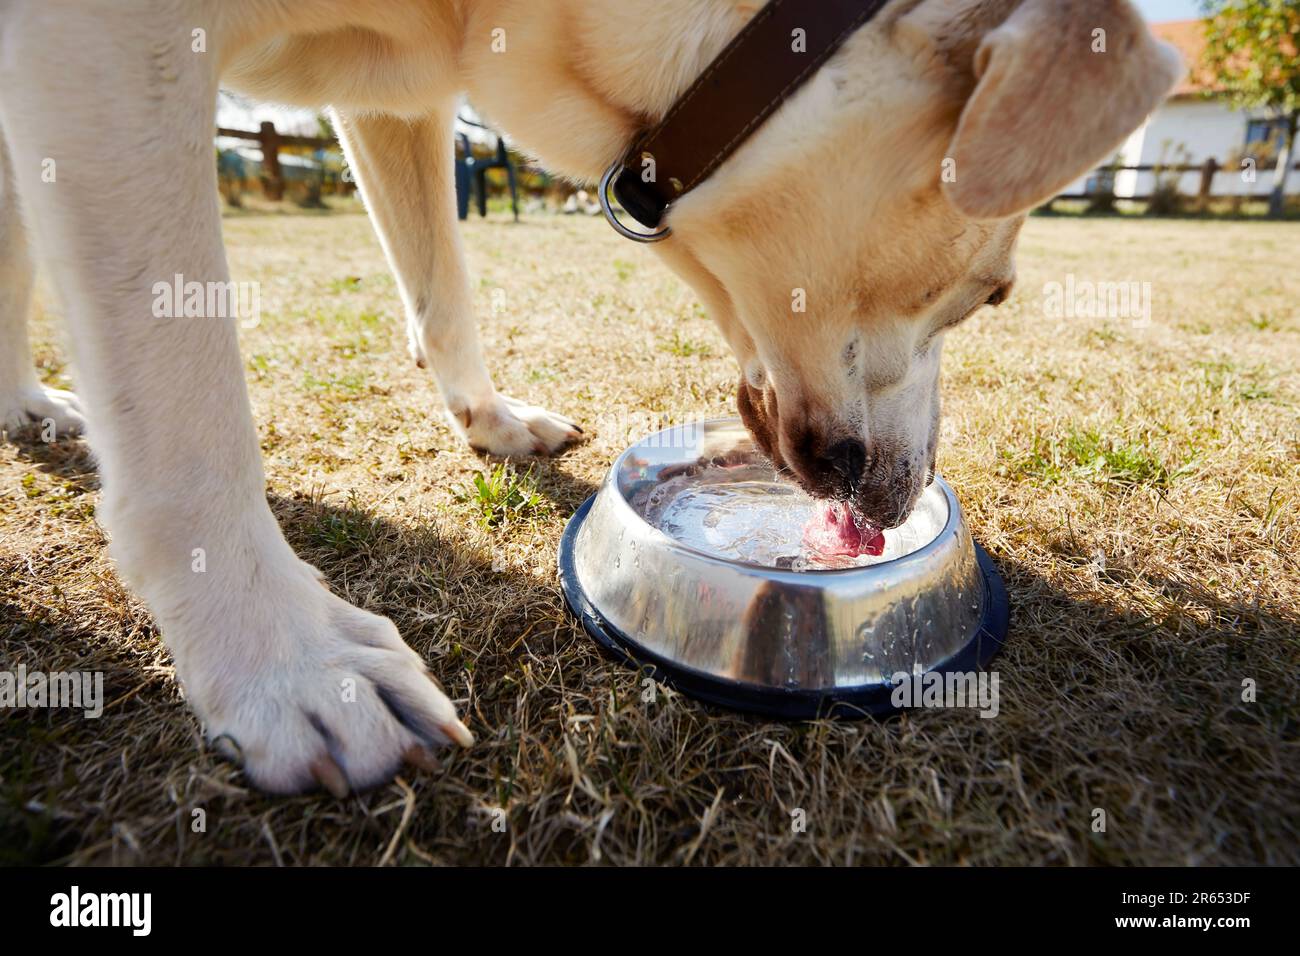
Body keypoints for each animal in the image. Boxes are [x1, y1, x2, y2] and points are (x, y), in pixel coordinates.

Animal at [0, 0, 1180, 790]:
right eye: (992, 294)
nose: (906, 493)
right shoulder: (110, 48)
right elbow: (188, 411)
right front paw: (285, 659)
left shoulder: (396, 98)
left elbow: (442, 291)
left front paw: (491, 421)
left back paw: (30, 401)